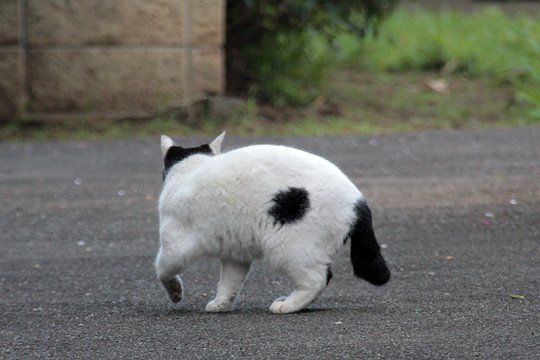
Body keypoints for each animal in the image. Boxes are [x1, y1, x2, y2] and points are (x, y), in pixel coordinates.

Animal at [155, 134, 388, 314]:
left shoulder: (175, 244)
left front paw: (175, 292)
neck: (191, 167)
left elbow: (163, 269)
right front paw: (221, 304)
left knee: (318, 279)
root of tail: (359, 201)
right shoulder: (235, 254)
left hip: (286, 247)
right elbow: (229, 282)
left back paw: (288, 305)